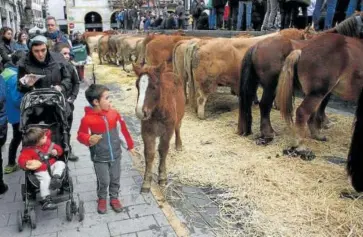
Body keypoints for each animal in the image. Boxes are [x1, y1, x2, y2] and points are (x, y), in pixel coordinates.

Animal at [133, 62, 185, 192]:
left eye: (154, 87)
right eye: (137, 85)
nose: (140, 112)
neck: (156, 112)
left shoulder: (167, 131)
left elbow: (162, 150)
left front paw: (162, 177)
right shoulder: (147, 132)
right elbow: (149, 153)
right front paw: (146, 182)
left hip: (179, 116)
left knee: (178, 128)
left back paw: (178, 145)